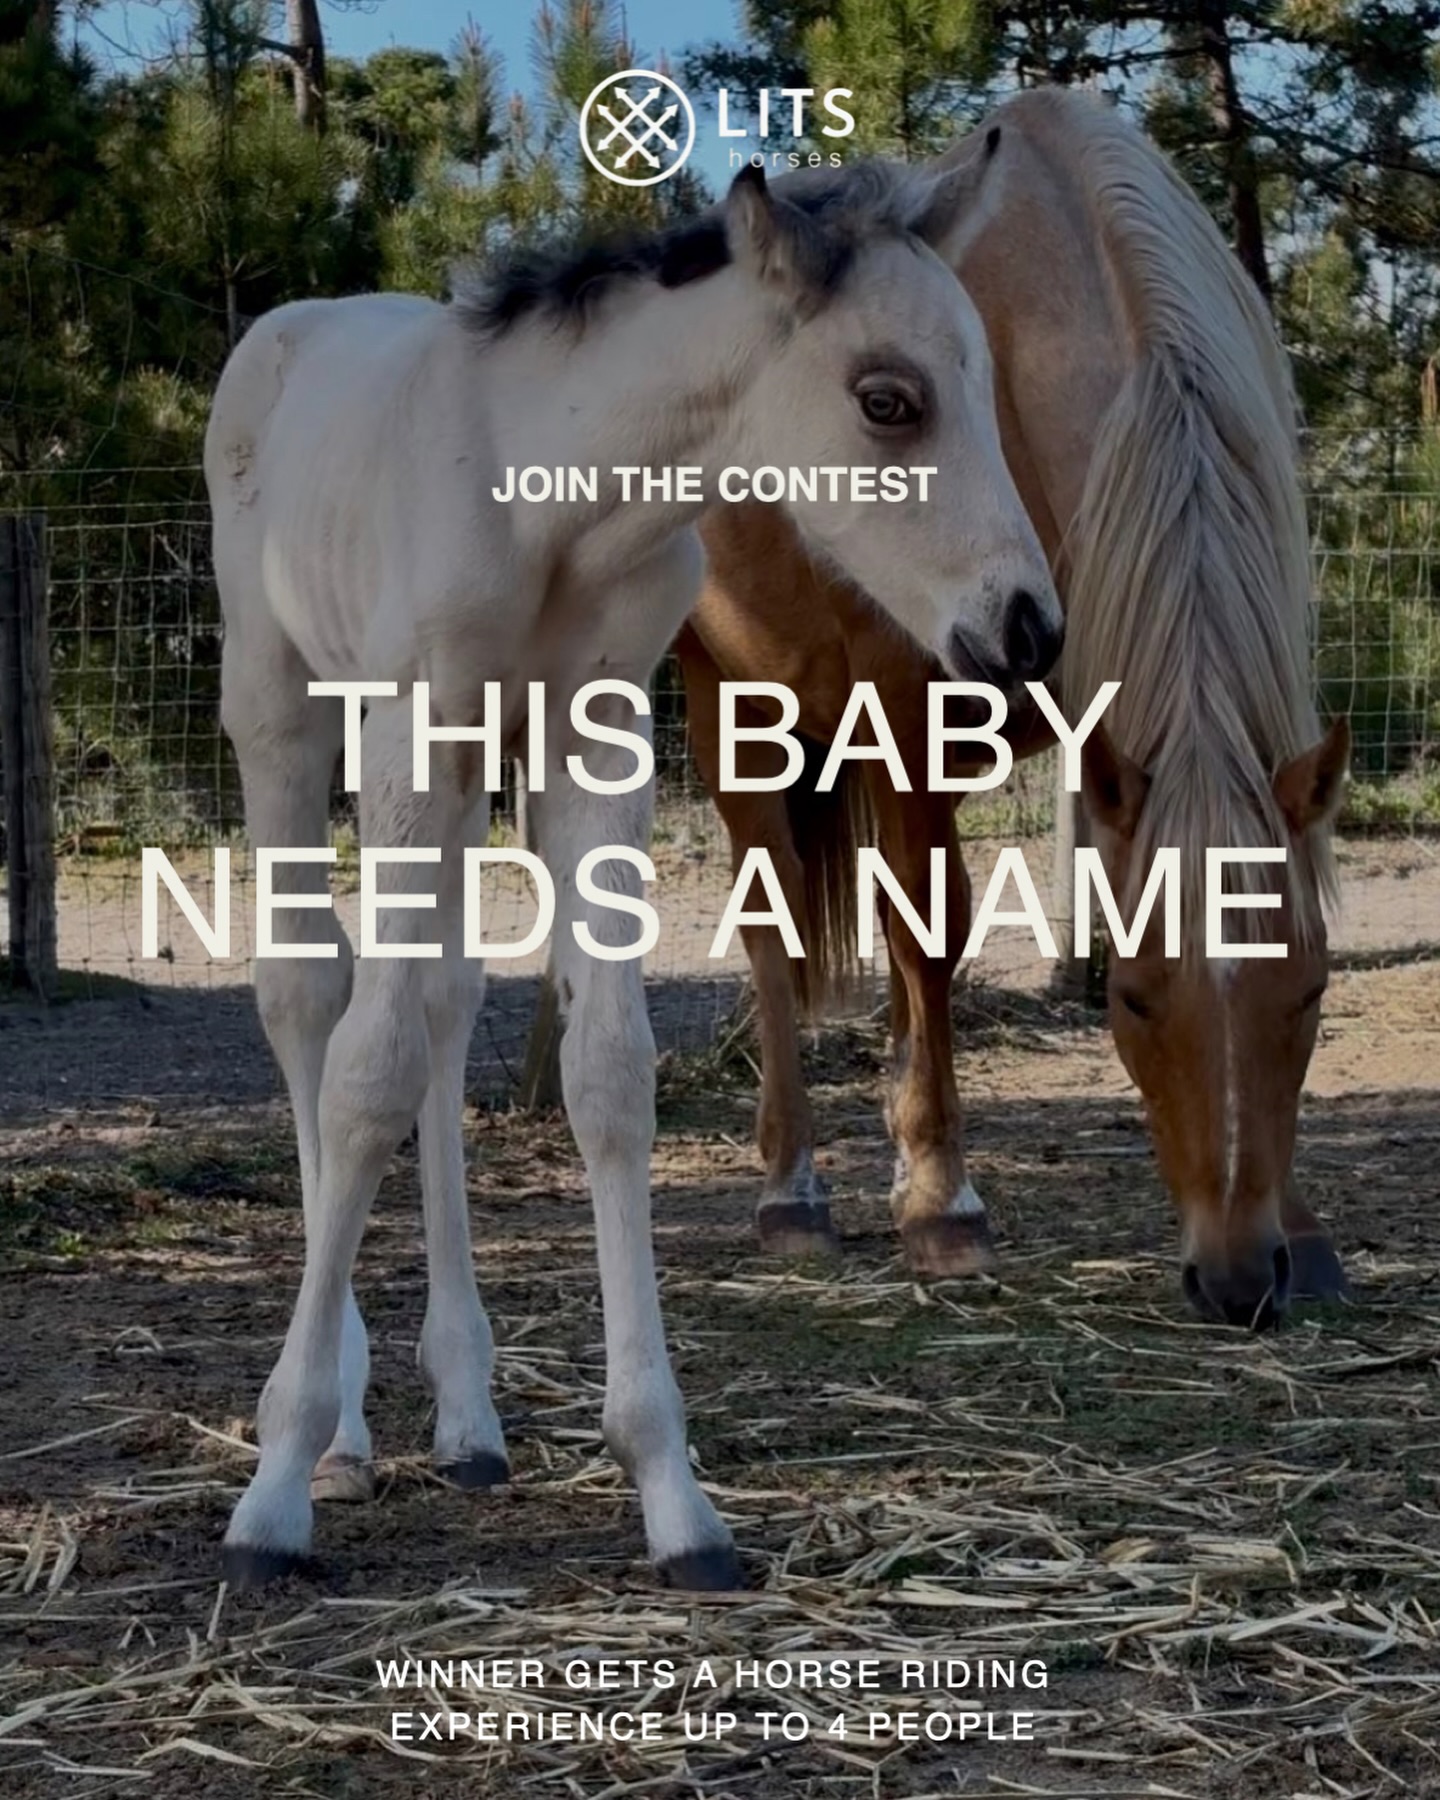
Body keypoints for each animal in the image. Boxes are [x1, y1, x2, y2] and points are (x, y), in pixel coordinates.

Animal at [204, 159, 1063, 1589]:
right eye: (887, 399)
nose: (1029, 625)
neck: (546, 500)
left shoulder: (588, 737)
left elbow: (605, 1075)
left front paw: (675, 1496)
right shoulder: (407, 728)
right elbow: (364, 1075)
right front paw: (276, 1485)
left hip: (469, 761)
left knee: (441, 1004)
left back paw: (468, 1415)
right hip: (282, 708)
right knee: (308, 1002)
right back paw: (346, 1426)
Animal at [678, 89, 1351, 1330]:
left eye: (1314, 990)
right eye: (1129, 1000)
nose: (1239, 1276)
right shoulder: (908, 706)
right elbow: (929, 932)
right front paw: (944, 1206)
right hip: (729, 702)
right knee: (774, 924)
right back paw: (794, 1192)